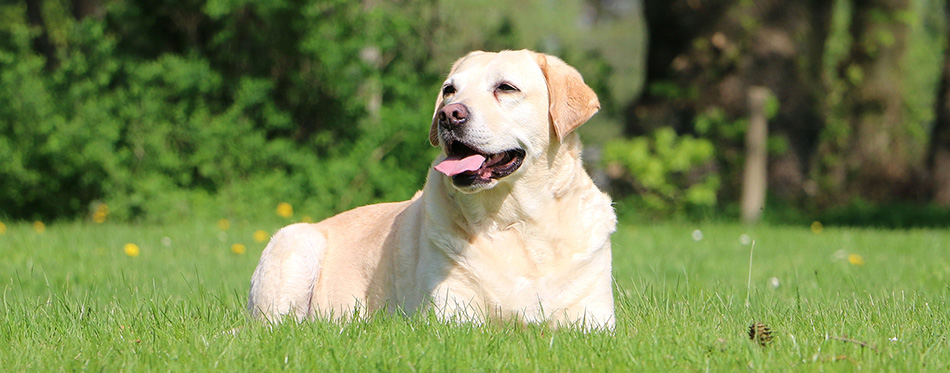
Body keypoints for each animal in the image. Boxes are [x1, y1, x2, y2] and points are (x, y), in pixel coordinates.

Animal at [245, 48, 616, 328]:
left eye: (506, 88)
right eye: (450, 90)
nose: (449, 115)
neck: (516, 222)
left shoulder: (595, 320)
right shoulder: (453, 315)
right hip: (294, 243)